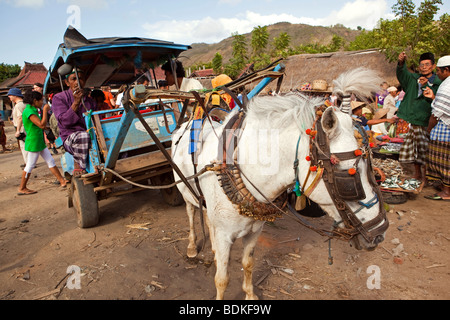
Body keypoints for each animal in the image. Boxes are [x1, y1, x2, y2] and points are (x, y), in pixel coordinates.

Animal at [171, 68, 388, 300]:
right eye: (348, 181)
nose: (379, 234)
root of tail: (184, 124)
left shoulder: (254, 230)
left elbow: (248, 263)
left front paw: (250, 295)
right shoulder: (224, 236)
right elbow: (222, 279)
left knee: (207, 217)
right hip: (185, 193)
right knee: (191, 213)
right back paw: (192, 246)